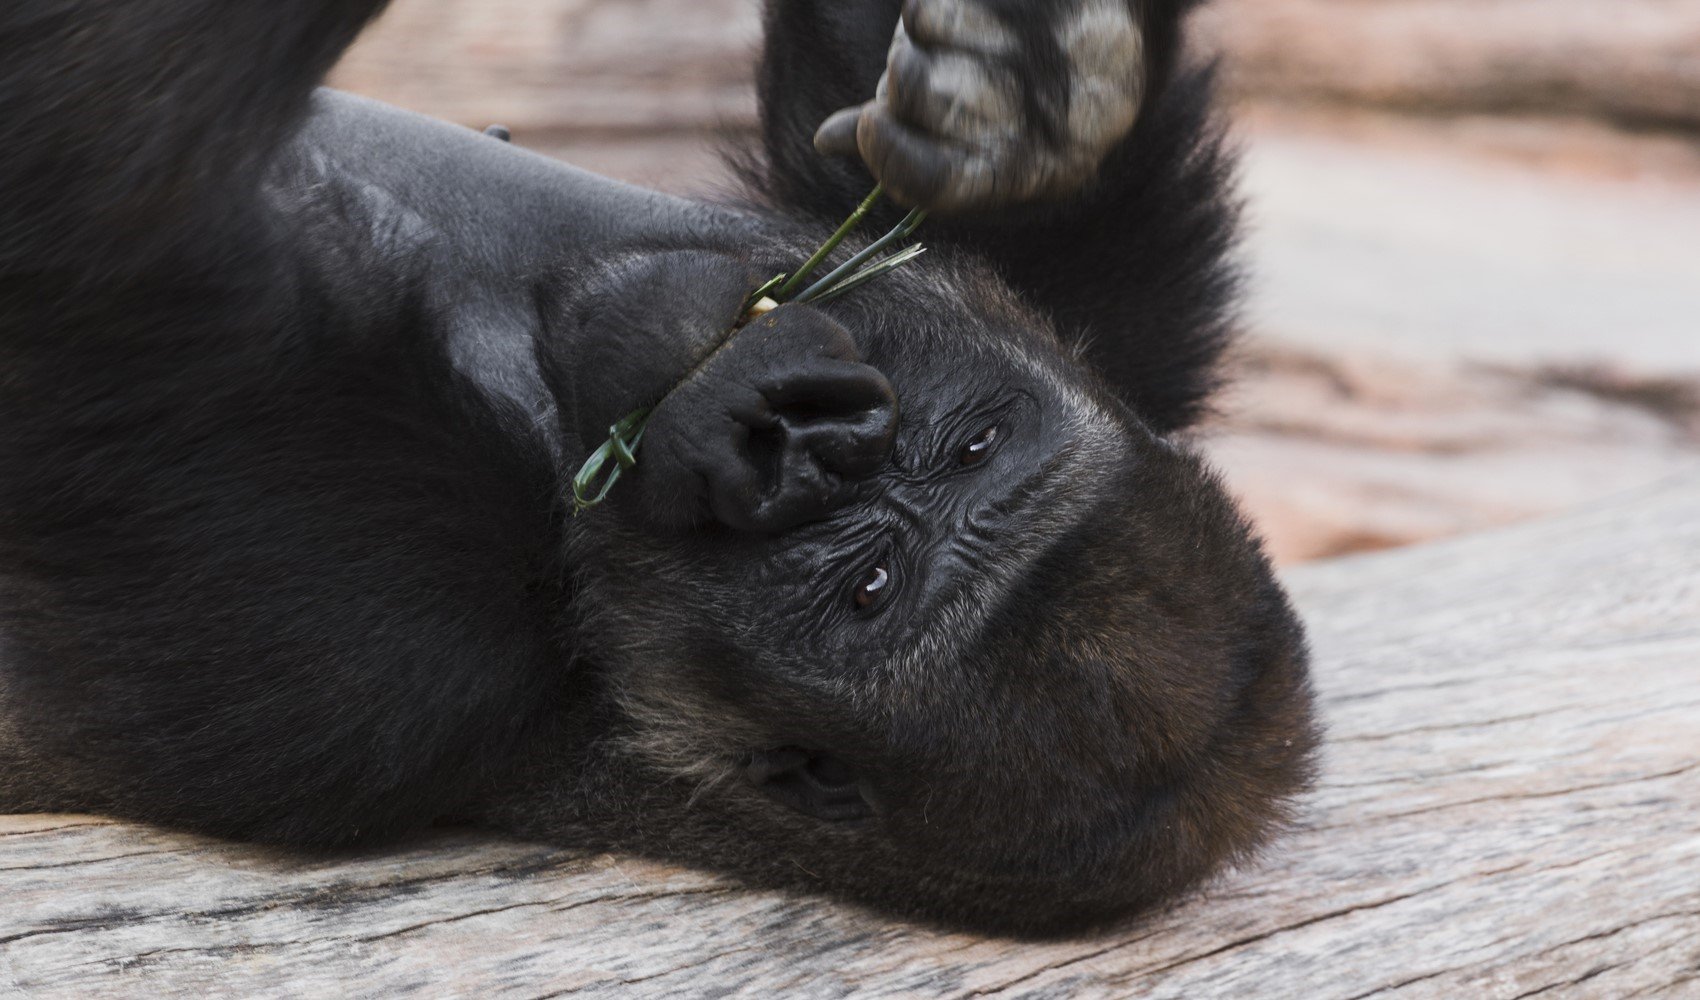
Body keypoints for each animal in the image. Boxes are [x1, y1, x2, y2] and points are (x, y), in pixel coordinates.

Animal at [0, 1, 1312, 938]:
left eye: (868, 588)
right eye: (974, 444)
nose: (798, 444)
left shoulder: (381, 628)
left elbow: (96, 203)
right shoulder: (1104, 341)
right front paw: (1037, 93)